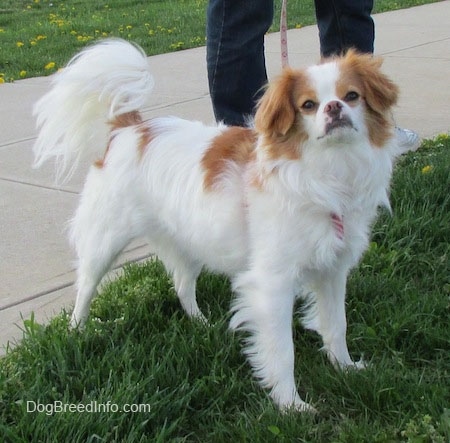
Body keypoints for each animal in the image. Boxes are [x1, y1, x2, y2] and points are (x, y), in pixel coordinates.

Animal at [33, 38, 414, 412]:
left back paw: (201, 324)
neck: (328, 172)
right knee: (86, 286)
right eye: (308, 105)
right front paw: (291, 405)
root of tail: (131, 128)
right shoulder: (272, 283)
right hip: (106, 239)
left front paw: (346, 369)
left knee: (182, 285)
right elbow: (282, 351)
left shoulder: (333, 271)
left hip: (190, 238)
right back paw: (77, 332)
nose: (334, 107)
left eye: (352, 96)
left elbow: (336, 325)